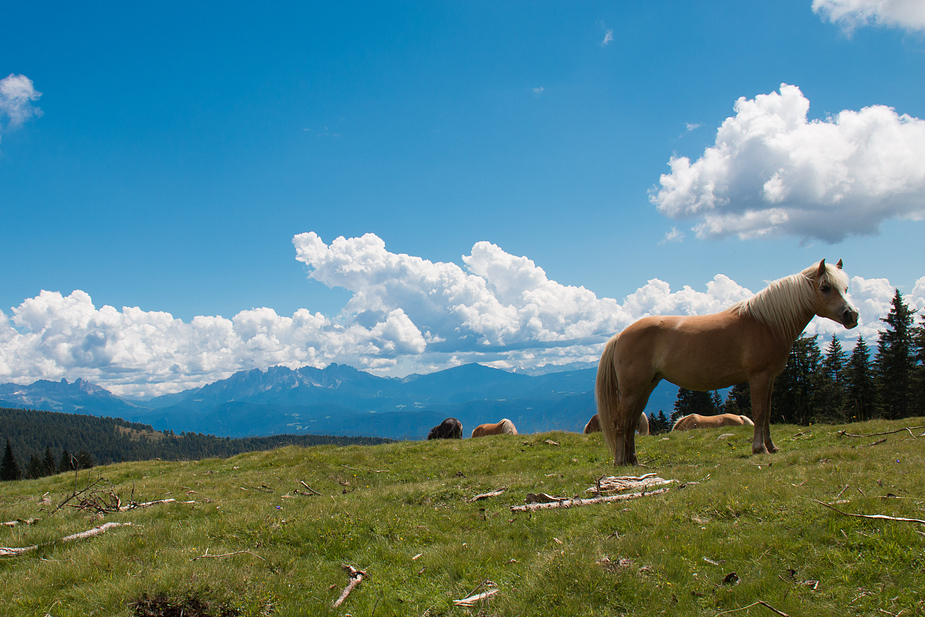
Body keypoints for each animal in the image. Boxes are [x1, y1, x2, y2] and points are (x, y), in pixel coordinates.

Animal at [600, 258, 860, 464]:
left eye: (846, 288)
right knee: (620, 423)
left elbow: (767, 413)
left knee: (631, 422)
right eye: (825, 287)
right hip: (632, 390)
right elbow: (759, 412)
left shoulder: (770, 379)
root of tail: (619, 335)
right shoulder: (759, 376)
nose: (852, 315)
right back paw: (620, 462)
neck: (767, 323)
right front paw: (759, 449)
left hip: (645, 388)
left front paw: (772, 447)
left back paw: (634, 461)